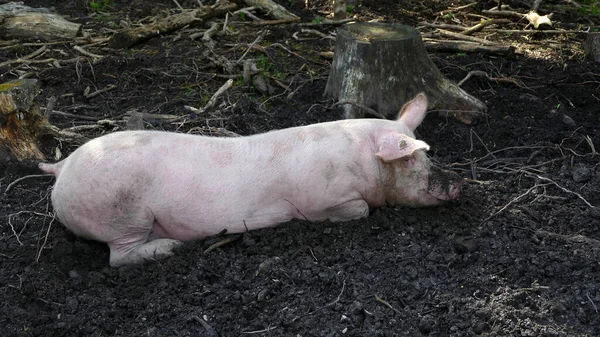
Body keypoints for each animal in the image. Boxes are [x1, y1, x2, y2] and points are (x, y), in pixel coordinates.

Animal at [38, 92, 460, 266]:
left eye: (428, 153)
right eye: (412, 157)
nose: (458, 183)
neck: (364, 161)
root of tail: (63, 168)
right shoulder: (324, 200)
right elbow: (360, 212)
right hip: (125, 215)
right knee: (117, 257)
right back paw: (171, 248)